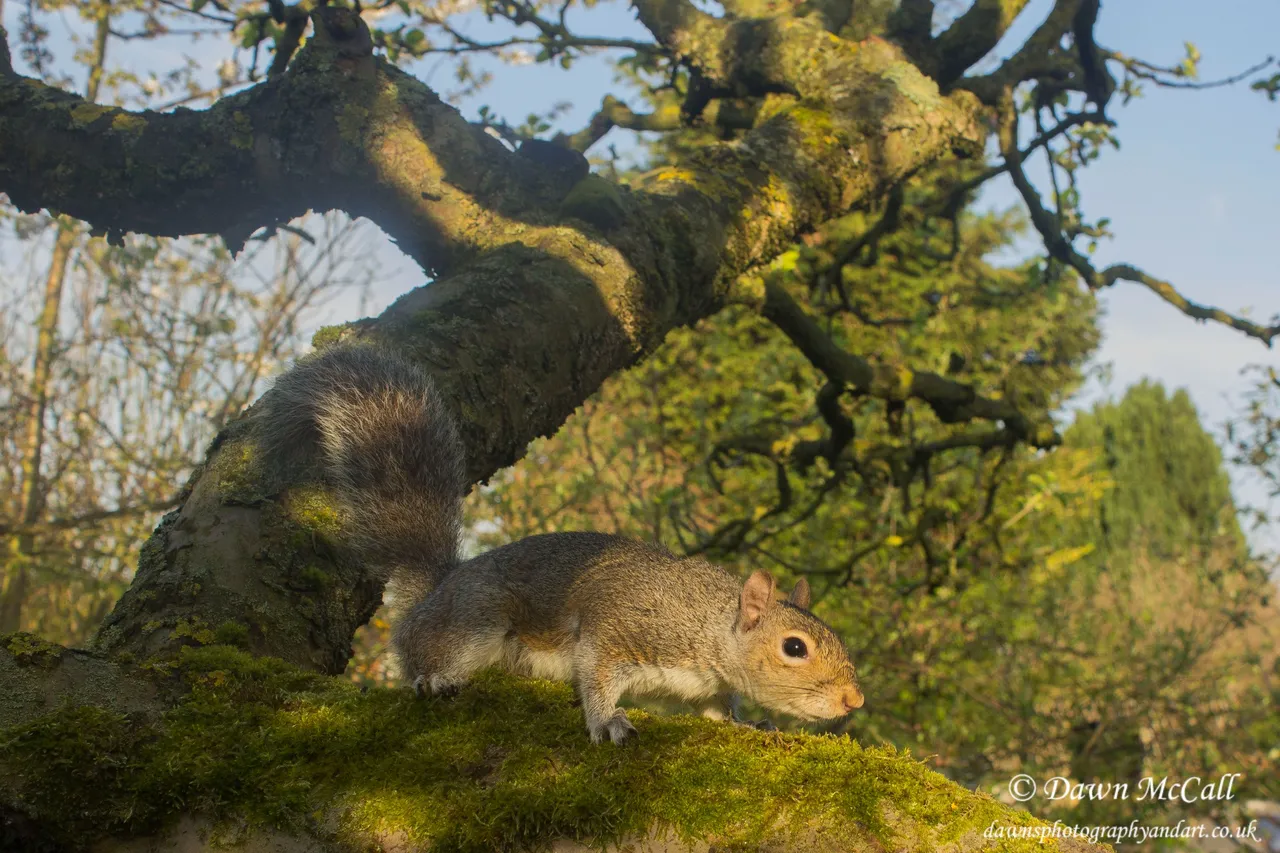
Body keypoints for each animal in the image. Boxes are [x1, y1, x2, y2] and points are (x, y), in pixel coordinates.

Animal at [254, 343, 865, 742]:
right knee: (427, 654)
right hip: (475, 619)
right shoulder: (618, 629)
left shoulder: (705, 684)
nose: (853, 700)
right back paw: (435, 679)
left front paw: (751, 722)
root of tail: (437, 590)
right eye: (794, 648)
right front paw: (608, 721)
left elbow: (720, 709)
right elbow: (596, 675)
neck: (707, 623)